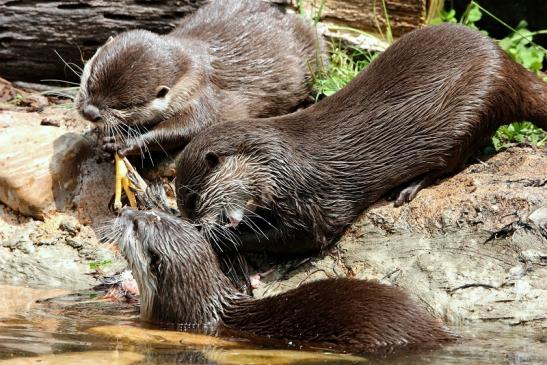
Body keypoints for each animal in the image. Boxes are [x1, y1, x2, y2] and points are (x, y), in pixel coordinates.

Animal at [76, 0, 326, 155]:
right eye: (89, 83)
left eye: (124, 105)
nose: (90, 112)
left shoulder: (203, 92)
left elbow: (196, 125)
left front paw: (123, 140)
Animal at [176, 23, 547, 253]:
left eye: (192, 200)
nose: (192, 225)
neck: (281, 163)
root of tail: (509, 66)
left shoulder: (317, 202)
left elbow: (306, 235)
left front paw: (220, 239)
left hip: (476, 106)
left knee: (456, 159)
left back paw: (407, 189)